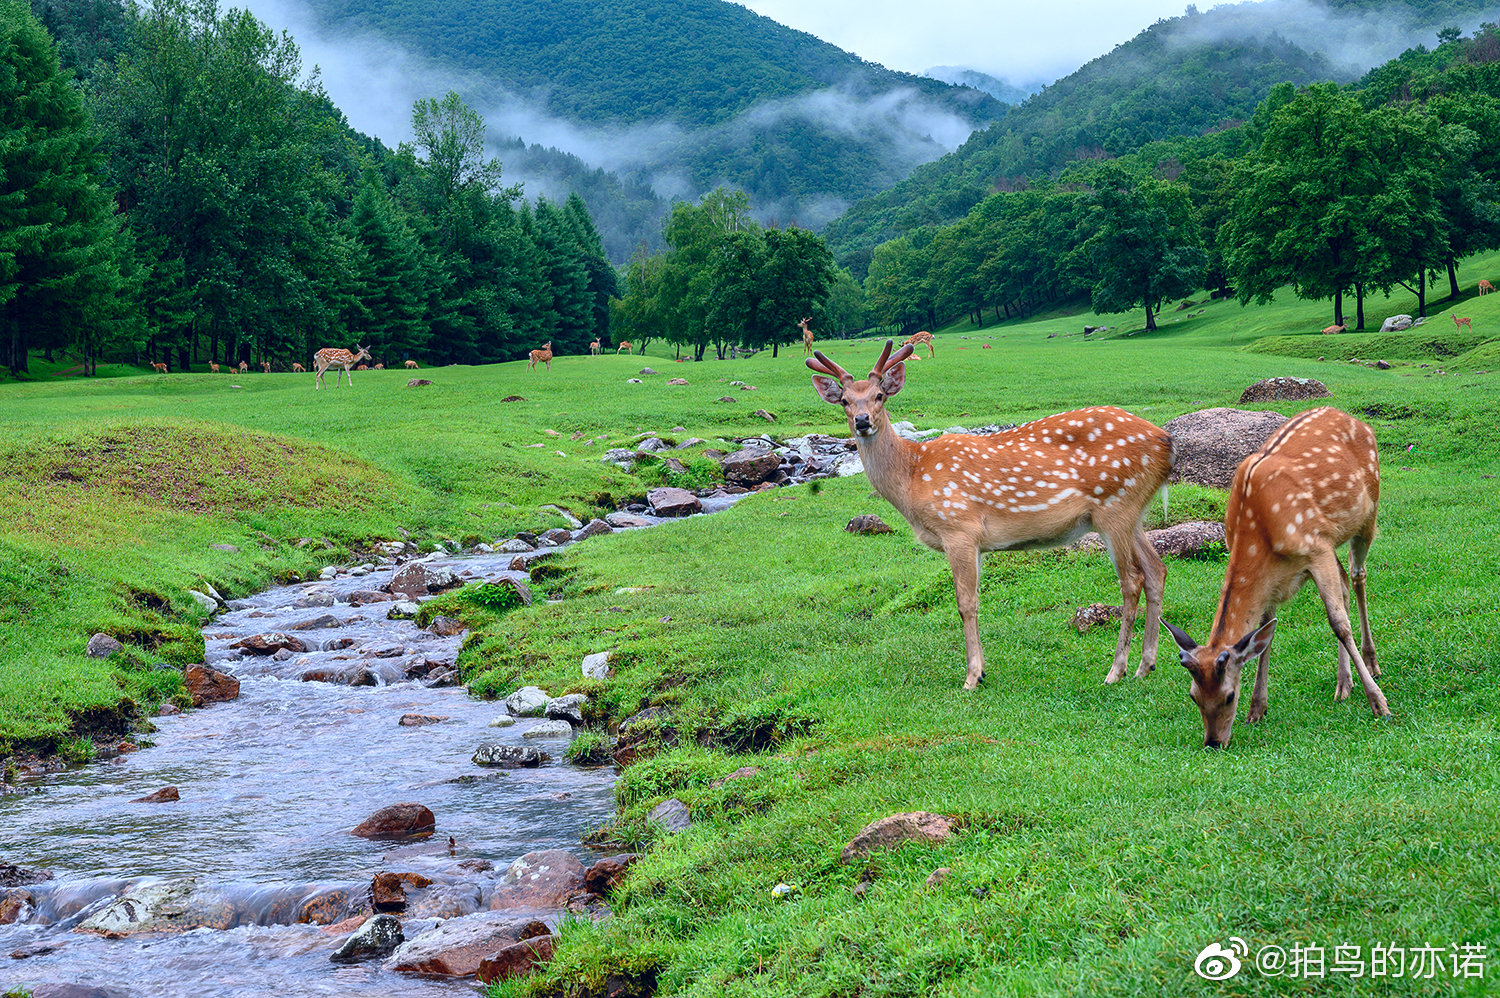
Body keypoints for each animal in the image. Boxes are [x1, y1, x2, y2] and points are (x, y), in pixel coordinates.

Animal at [804, 340, 1176, 684]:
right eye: (845, 400)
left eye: (880, 395)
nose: (862, 421)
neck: (912, 477)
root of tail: (1166, 441)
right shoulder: (977, 542)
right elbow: (973, 600)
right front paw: (980, 669)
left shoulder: (958, 527)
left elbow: (965, 603)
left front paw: (972, 676)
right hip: (1132, 512)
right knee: (1157, 570)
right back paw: (1145, 665)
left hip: (1114, 505)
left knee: (1132, 580)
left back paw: (1116, 670)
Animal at [1158, 408, 1392, 747]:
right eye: (1193, 696)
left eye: (1229, 696)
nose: (1213, 742)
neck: (1260, 533)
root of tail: (1355, 419)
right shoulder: (1279, 575)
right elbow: (1266, 633)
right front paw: (1257, 709)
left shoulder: (1315, 549)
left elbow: (1338, 624)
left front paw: (1379, 704)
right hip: (1332, 539)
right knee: (1346, 583)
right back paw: (1343, 684)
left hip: (1367, 514)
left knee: (1358, 575)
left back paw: (1372, 664)